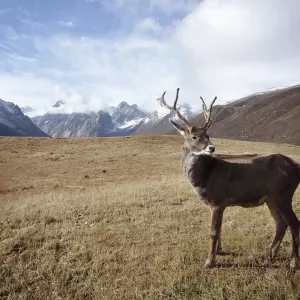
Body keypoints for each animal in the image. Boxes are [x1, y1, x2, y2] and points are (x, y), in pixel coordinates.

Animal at [158, 88, 300, 270]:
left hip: (284, 194)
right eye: (194, 136)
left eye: (208, 134)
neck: (204, 177)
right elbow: (219, 230)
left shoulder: (218, 200)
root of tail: (297, 166)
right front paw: (219, 252)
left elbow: (213, 232)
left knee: (294, 224)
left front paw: (209, 262)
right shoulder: (218, 204)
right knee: (281, 223)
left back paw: (293, 262)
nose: (212, 148)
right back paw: (270, 254)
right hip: (272, 198)